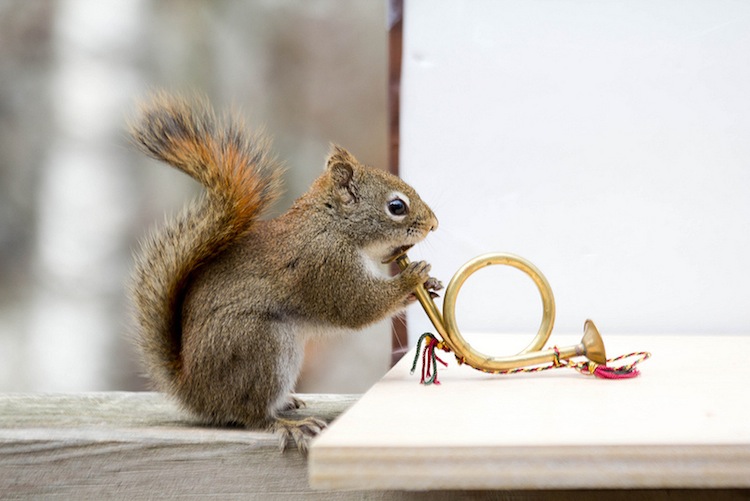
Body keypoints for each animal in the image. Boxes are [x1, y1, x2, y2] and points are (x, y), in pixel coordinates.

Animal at [129, 92, 440, 452]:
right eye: (396, 207)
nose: (434, 224)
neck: (333, 224)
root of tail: (193, 391)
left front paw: (431, 283)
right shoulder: (326, 265)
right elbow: (357, 307)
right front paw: (412, 277)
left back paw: (287, 403)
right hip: (262, 346)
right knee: (250, 414)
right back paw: (288, 425)